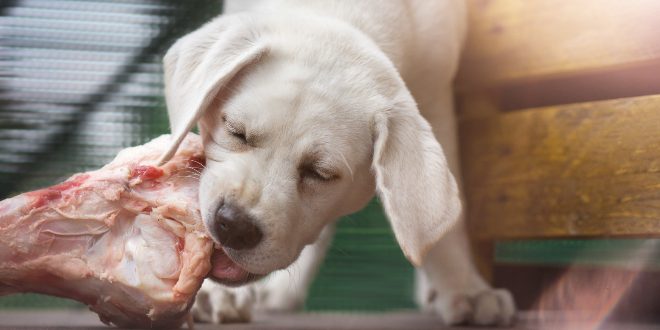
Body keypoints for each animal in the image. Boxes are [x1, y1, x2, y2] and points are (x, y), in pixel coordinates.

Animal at [159, 0, 516, 324]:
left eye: (320, 173)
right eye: (236, 131)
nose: (233, 225)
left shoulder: (435, 95)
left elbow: (443, 217)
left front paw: (465, 288)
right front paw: (221, 294)